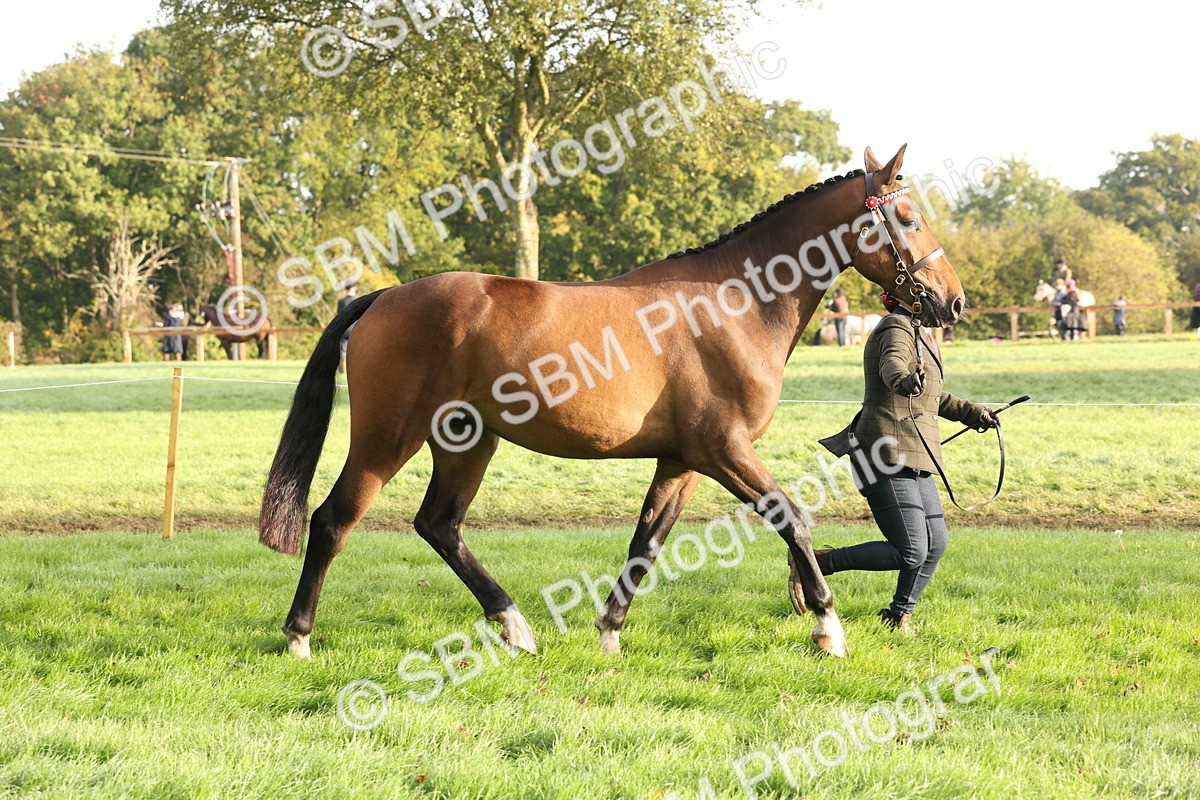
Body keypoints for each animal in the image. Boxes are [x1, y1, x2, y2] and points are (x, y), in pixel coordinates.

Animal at [258, 144, 967, 661]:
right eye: (908, 218)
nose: (953, 301)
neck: (737, 302)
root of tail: (381, 297)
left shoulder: (683, 462)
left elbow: (645, 543)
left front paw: (609, 632)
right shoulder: (725, 449)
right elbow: (793, 519)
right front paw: (827, 627)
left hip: (468, 441)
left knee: (440, 525)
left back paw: (515, 627)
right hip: (388, 439)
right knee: (333, 521)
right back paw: (299, 637)